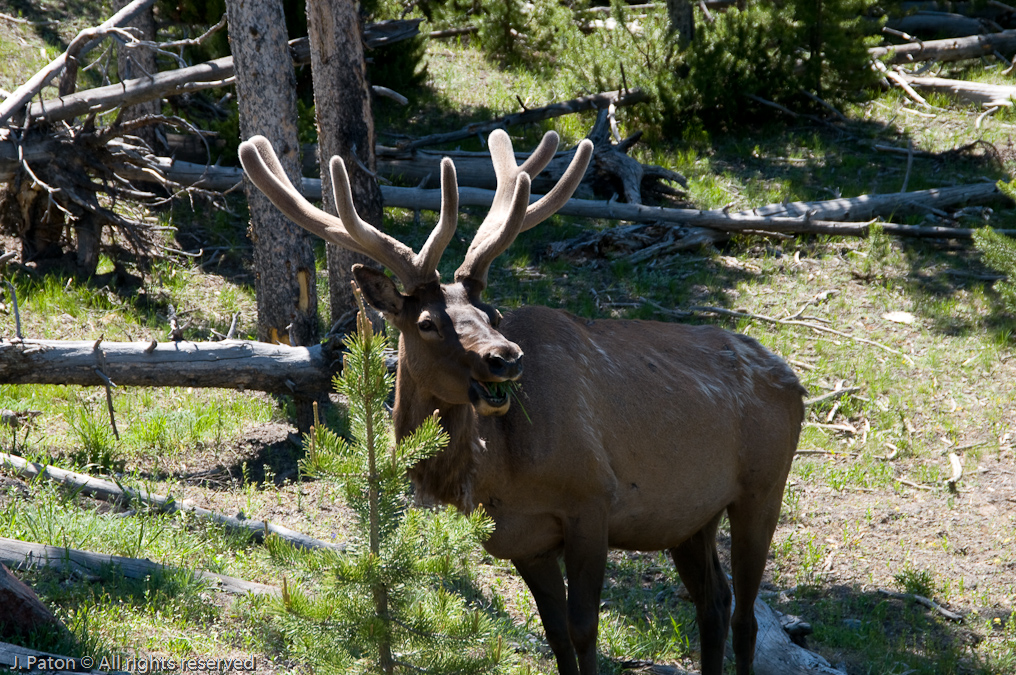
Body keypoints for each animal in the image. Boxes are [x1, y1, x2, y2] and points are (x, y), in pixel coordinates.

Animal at [238, 129, 805, 675]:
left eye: (490, 312)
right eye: (427, 323)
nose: (505, 357)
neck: (498, 474)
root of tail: (794, 379)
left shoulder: (592, 502)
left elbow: (584, 631)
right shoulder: (523, 542)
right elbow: (555, 637)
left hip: (763, 488)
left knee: (746, 617)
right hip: (689, 517)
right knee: (714, 602)